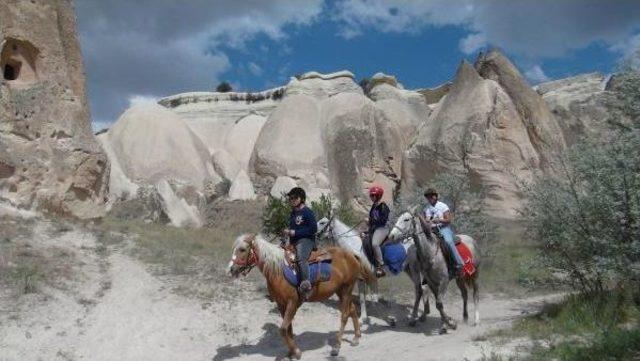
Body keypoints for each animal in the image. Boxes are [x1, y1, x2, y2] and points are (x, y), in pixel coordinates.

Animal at [228, 233, 376, 358]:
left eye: (242, 249)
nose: (231, 269)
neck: (278, 270)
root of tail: (351, 254)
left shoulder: (292, 303)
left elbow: (283, 329)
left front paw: (297, 352)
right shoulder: (281, 304)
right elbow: (288, 328)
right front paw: (290, 352)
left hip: (346, 289)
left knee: (345, 315)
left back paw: (337, 346)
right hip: (341, 291)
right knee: (352, 310)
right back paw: (356, 337)